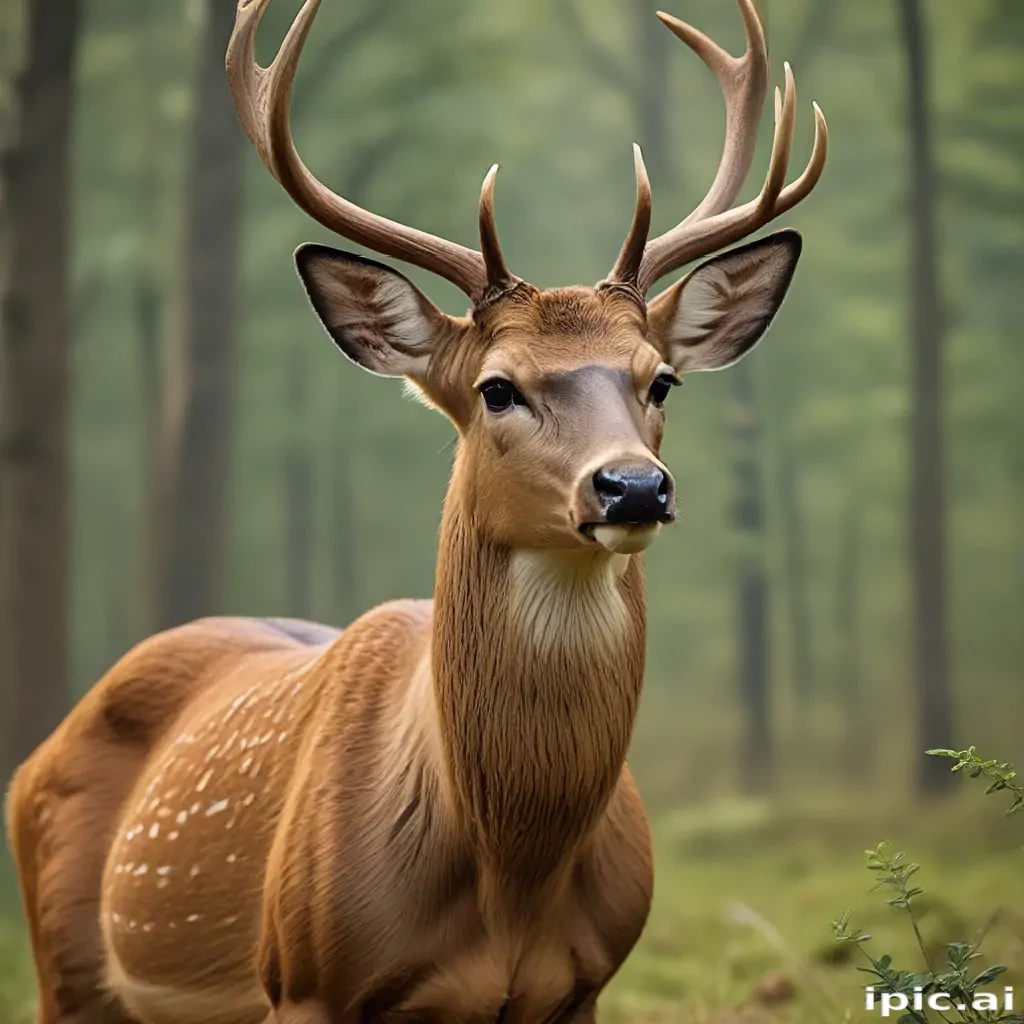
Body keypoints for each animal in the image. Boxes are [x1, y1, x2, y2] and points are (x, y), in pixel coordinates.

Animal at [5, 0, 826, 1021]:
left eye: (660, 379)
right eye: (497, 388)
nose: (633, 486)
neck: (512, 871)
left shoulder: (586, 984)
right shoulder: (306, 981)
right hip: (66, 967)